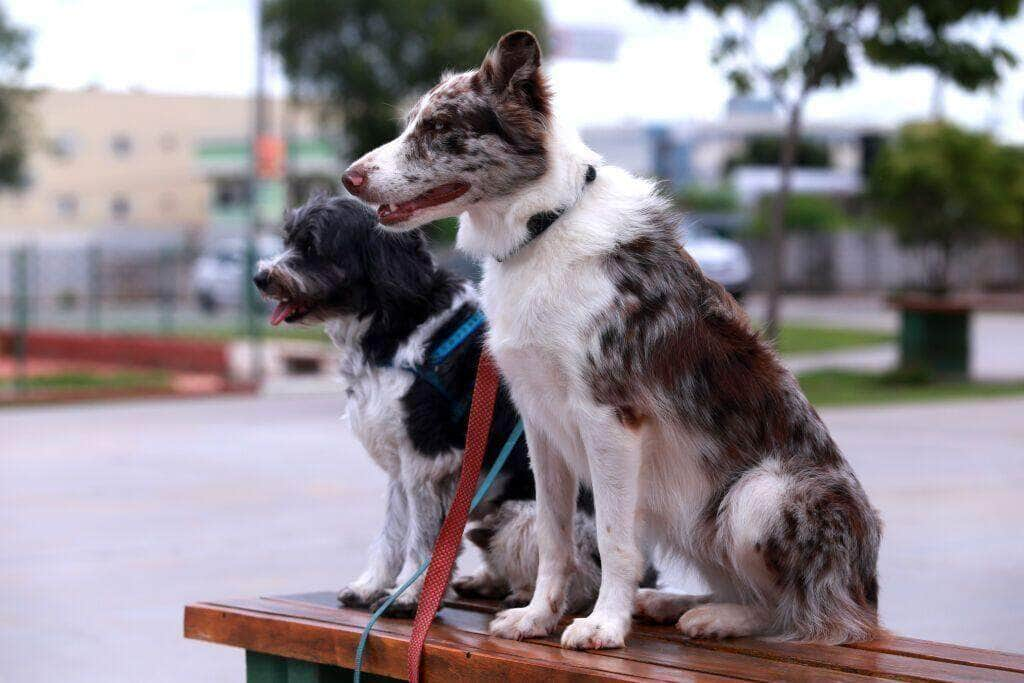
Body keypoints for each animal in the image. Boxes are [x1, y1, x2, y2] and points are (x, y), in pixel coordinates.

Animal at [253, 196, 598, 614]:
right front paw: (371, 586)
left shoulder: (426, 459)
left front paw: (410, 598)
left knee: (581, 576)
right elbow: (392, 533)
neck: (393, 327)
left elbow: (424, 540)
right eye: (288, 240)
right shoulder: (402, 463)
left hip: (527, 516)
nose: (261, 277)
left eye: (312, 246)